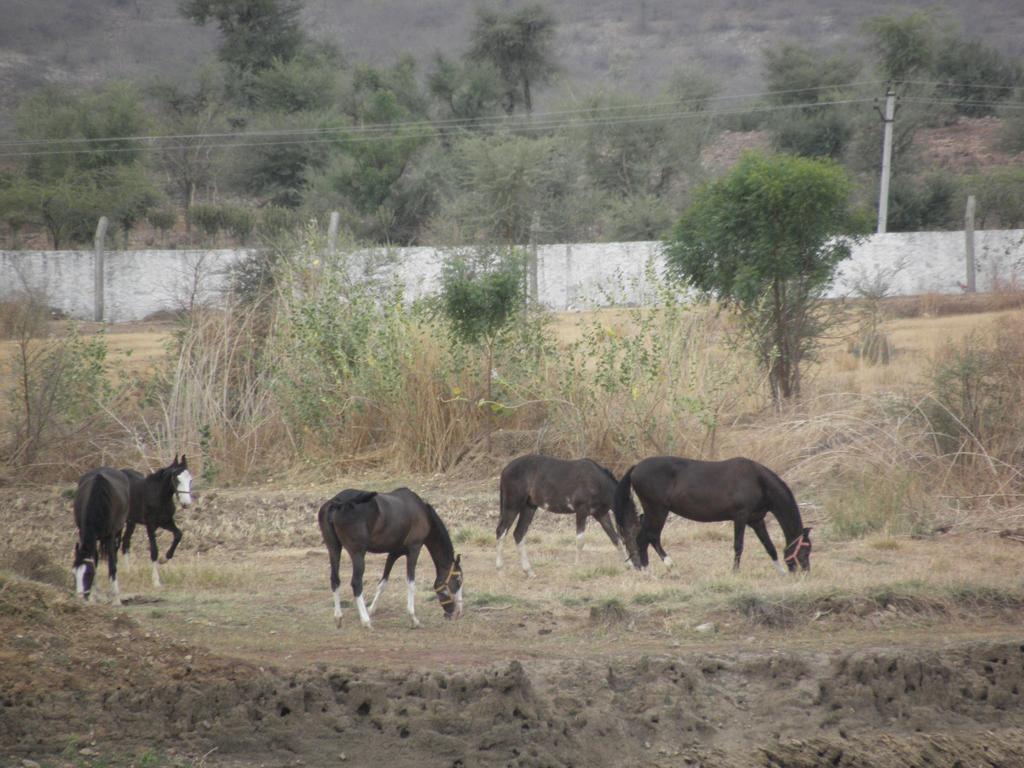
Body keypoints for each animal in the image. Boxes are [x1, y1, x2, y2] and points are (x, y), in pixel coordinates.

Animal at [72, 466, 131, 606]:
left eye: (88, 574)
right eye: (74, 574)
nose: (80, 599)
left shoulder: (111, 536)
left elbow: (112, 565)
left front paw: (116, 598)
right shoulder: (85, 533)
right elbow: (95, 561)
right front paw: (94, 596)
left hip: (117, 533)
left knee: (114, 557)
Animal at [119, 456, 193, 589]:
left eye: (190, 480)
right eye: (176, 479)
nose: (186, 503)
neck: (159, 496)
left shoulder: (166, 522)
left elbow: (178, 535)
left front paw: (164, 558)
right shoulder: (150, 525)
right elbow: (154, 551)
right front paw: (156, 581)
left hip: (131, 522)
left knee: (125, 542)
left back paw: (128, 572)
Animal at [317, 489, 466, 626]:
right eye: (458, 580)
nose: (458, 612)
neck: (422, 512)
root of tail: (337, 502)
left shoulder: (394, 553)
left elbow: (383, 583)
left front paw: (371, 609)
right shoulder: (414, 549)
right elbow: (411, 583)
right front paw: (413, 618)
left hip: (334, 548)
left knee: (335, 580)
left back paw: (338, 616)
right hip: (357, 553)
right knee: (356, 583)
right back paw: (365, 621)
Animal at [493, 456, 626, 577]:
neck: (597, 482)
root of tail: (505, 469)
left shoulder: (601, 514)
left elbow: (615, 538)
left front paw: (627, 565)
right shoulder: (582, 511)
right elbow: (580, 541)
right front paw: (577, 568)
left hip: (529, 507)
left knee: (519, 533)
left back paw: (529, 572)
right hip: (512, 506)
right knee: (501, 531)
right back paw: (500, 570)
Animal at [610, 454, 811, 573]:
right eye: (806, 549)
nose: (804, 572)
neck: (757, 480)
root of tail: (636, 467)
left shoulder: (756, 520)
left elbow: (769, 546)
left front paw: (780, 572)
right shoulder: (740, 517)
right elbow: (739, 545)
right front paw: (735, 572)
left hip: (654, 512)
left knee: (645, 538)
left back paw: (649, 570)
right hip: (657, 510)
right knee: (649, 536)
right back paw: (662, 566)